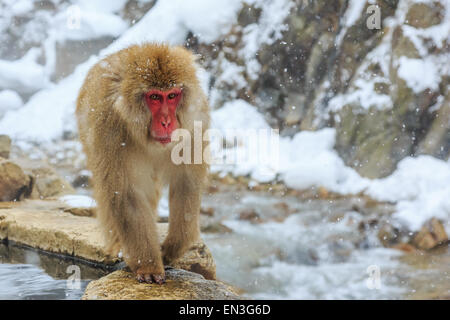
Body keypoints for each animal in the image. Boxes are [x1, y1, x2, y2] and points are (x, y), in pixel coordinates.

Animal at [76, 43, 210, 284]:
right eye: (155, 97)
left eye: (172, 96)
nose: (166, 122)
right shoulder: (110, 127)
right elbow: (126, 194)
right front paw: (148, 264)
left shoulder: (194, 123)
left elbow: (186, 184)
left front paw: (172, 248)